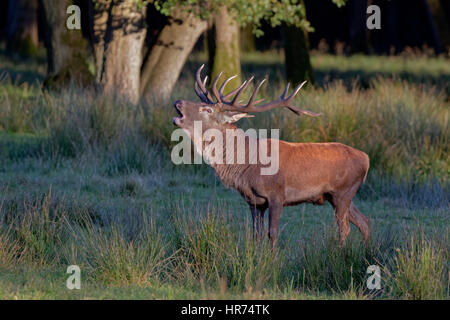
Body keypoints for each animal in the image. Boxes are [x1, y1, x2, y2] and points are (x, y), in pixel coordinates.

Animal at [172, 65, 370, 249]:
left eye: (207, 109)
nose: (178, 102)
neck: (248, 166)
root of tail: (366, 159)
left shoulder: (277, 194)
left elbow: (272, 233)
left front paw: (273, 260)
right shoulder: (254, 201)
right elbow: (256, 234)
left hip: (343, 191)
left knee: (345, 227)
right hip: (337, 195)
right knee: (364, 221)